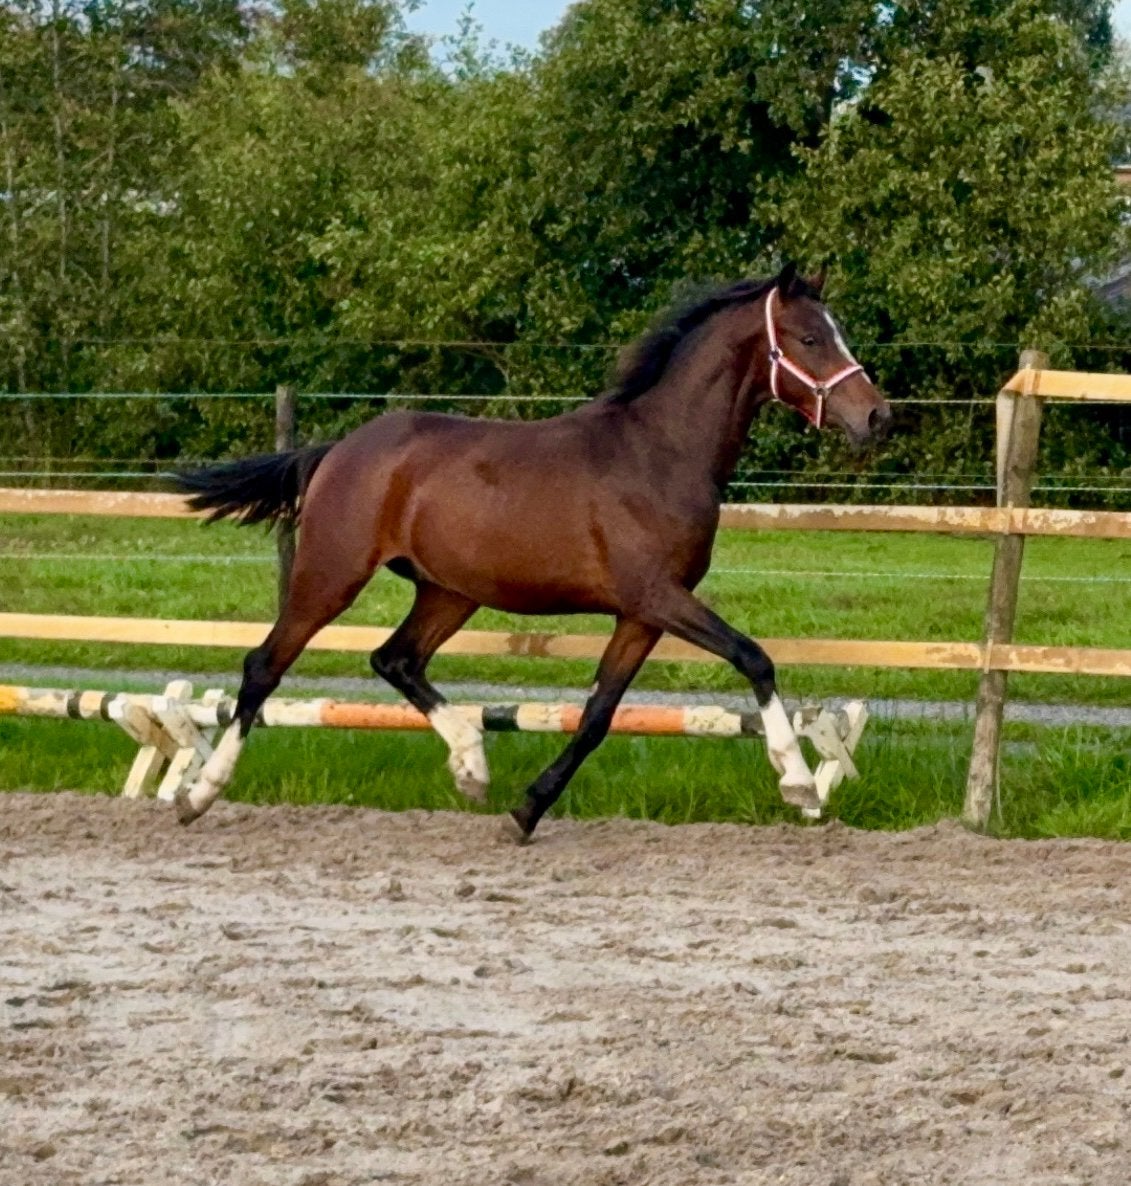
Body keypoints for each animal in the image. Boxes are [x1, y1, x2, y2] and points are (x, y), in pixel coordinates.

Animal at [172, 263, 891, 839]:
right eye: (809, 338)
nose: (876, 417)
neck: (660, 453)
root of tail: (339, 449)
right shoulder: (659, 596)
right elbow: (755, 659)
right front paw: (798, 784)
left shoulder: (640, 616)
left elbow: (597, 716)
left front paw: (524, 813)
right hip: (331, 574)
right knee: (265, 666)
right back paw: (199, 794)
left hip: (448, 591)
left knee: (395, 658)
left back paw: (471, 764)